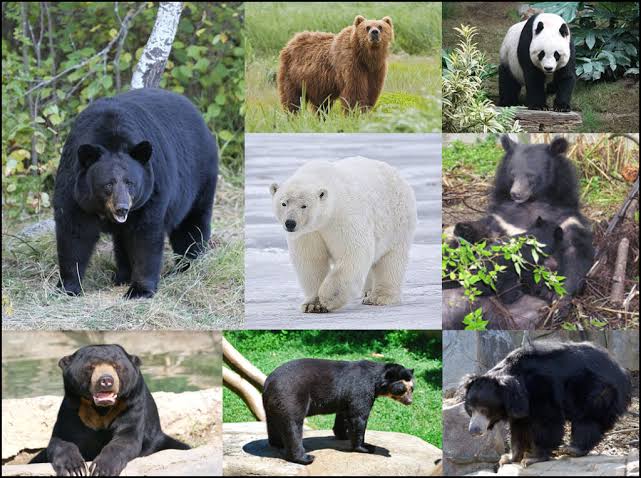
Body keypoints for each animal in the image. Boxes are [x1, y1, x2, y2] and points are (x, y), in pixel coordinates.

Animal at [30, 344, 189, 476]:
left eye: (117, 366)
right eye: (90, 367)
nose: (106, 381)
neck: (102, 408)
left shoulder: (130, 405)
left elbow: (125, 439)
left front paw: (101, 469)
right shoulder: (74, 408)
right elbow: (62, 439)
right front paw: (75, 469)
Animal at [53, 88, 218, 299]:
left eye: (130, 183)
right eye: (108, 184)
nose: (122, 208)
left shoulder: (151, 193)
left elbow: (144, 236)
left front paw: (139, 290)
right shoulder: (74, 190)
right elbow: (74, 233)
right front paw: (68, 287)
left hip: (199, 178)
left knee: (191, 224)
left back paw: (188, 265)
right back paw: (122, 276)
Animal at [263, 358, 414, 465]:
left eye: (412, 388)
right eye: (402, 389)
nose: (410, 401)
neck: (376, 382)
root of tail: (268, 383)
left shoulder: (345, 396)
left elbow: (344, 414)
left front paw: (344, 435)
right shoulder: (361, 390)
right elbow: (359, 417)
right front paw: (366, 447)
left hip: (273, 405)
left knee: (274, 423)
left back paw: (277, 443)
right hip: (291, 397)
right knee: (293, 426)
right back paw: (305, 458)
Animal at [269, 157, 417, 313]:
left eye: (304, 205)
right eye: (284, 203)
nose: (290, 223)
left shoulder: (343, 217)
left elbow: (352, 253)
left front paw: (328, 298)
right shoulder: (308, 233)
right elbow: (311, 260)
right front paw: (312, 304)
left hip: (397, 222)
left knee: (391, 260)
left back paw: (378, 297)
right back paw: (368, 291)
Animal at [461, 341, 631, 468]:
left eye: (484, 409)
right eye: (470, 409)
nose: (473, 430)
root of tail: (621, 370)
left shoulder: (541, 388)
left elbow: (546, 421)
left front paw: (532, 458)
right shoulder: (519, 407)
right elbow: (519, 428)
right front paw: (508, 458)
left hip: (595, 389)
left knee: (588, 419)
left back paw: (573, 449)